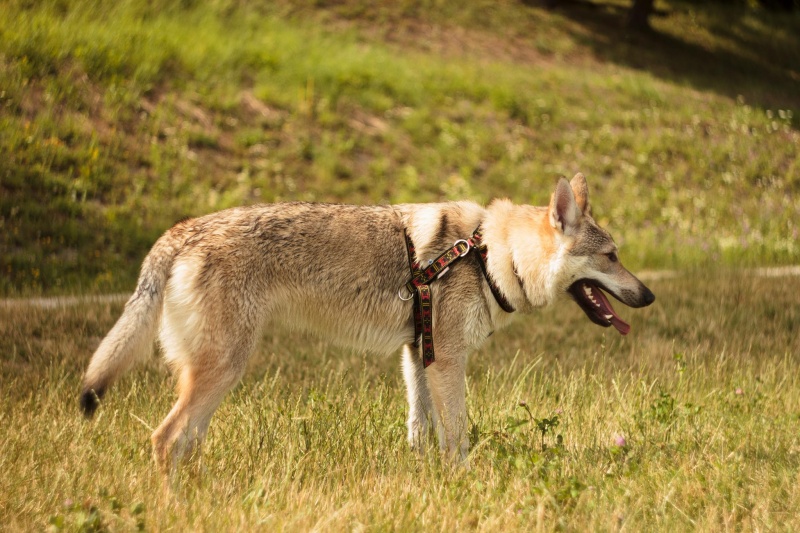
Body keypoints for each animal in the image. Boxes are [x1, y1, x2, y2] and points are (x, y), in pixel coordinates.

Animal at [81, 171, 656, 470]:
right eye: (611, 257)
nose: (648, 295)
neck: (491, 255)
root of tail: (181, 230)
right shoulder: (448, 362)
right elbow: (458, 439)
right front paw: (463, 483)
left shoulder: (418, 356)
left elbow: (420, 429)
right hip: (223, 368)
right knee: (164, 439)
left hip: (218, 377)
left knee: (184, 441)